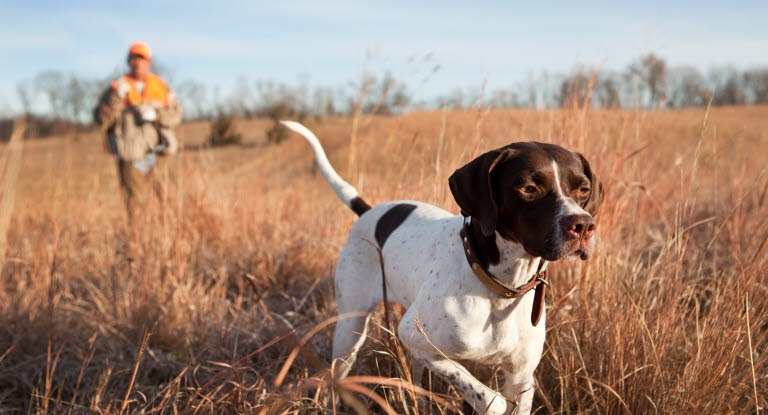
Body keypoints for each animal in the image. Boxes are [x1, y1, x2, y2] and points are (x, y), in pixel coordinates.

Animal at [284, 122, 608, 414]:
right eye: (528, 188)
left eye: (583, 189)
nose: (584, 226)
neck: (499, 286)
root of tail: (368, 211)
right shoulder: (417, 338)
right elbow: (492, 400)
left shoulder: (521, 376)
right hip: (350, 330)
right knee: (335, 378)